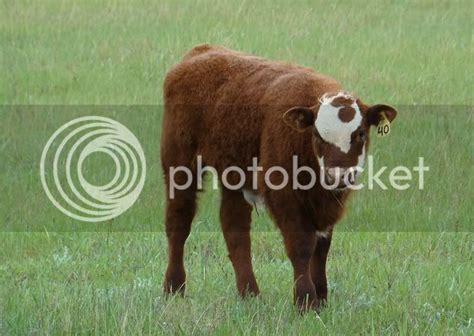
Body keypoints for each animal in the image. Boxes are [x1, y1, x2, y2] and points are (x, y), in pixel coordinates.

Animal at [161, 44, 398, 312]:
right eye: (318, 135)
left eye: (359, 134)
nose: (337, 175)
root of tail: (201, 51)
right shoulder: (284, 196)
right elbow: (301, 246)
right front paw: (305, 300)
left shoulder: (326, 205)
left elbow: (322, 248)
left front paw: (321, 298)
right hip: (179, 164)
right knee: (179, 222)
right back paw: (174, 287)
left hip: (234, 173)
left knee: (235, 227)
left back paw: (249, 293)